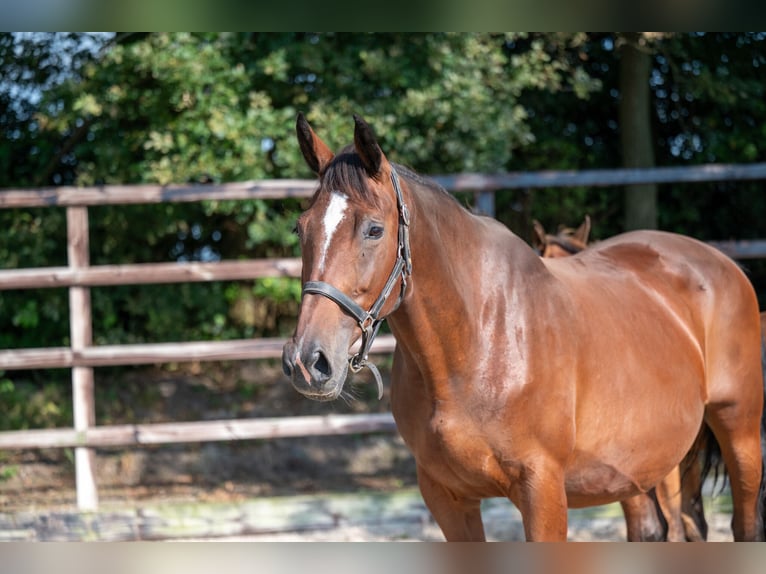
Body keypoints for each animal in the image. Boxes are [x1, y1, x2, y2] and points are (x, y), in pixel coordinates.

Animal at [284, 113, 766, 544]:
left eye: (373, 229)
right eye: (300, 228)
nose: (309, 361)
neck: (476, 341)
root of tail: (723, 264)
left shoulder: (543, 491)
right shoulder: (446, 497)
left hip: (738, 431)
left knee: (743, 524)